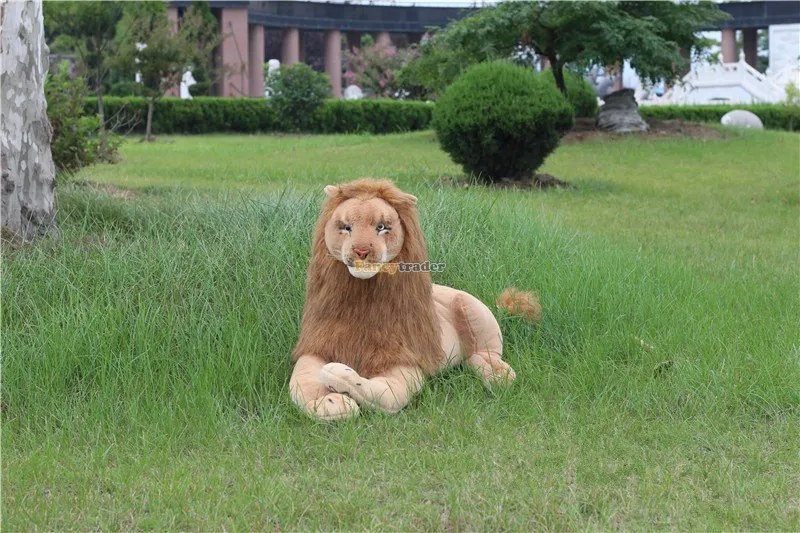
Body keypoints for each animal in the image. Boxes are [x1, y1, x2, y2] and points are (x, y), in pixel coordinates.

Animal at [290, 179, 540, 421]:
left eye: (381, 227)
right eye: (346, 227)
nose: (361, 252)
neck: (362, 299)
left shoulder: (404, 360)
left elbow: (385, 393)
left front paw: (339, 374)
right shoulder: (318, 346)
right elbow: (302, 381)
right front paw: (328, 402)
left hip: (476, 312)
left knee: (485, 353)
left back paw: (498, 374)